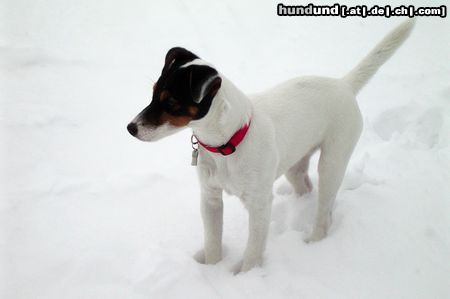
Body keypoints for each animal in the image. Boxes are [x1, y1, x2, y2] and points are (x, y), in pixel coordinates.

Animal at [126, 19, 414, 274]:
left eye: (171, 103)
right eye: (153, 93)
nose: (131, 128)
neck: (227, 143)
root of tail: (343, 84)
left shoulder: (259, 204)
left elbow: (253, 251)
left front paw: (245, 277)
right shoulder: (210, 198)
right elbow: (212, 242)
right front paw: (212, 269)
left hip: (333, 161)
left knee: (324, 211)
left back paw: (314, 242)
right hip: (294, 164)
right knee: (305, 187)